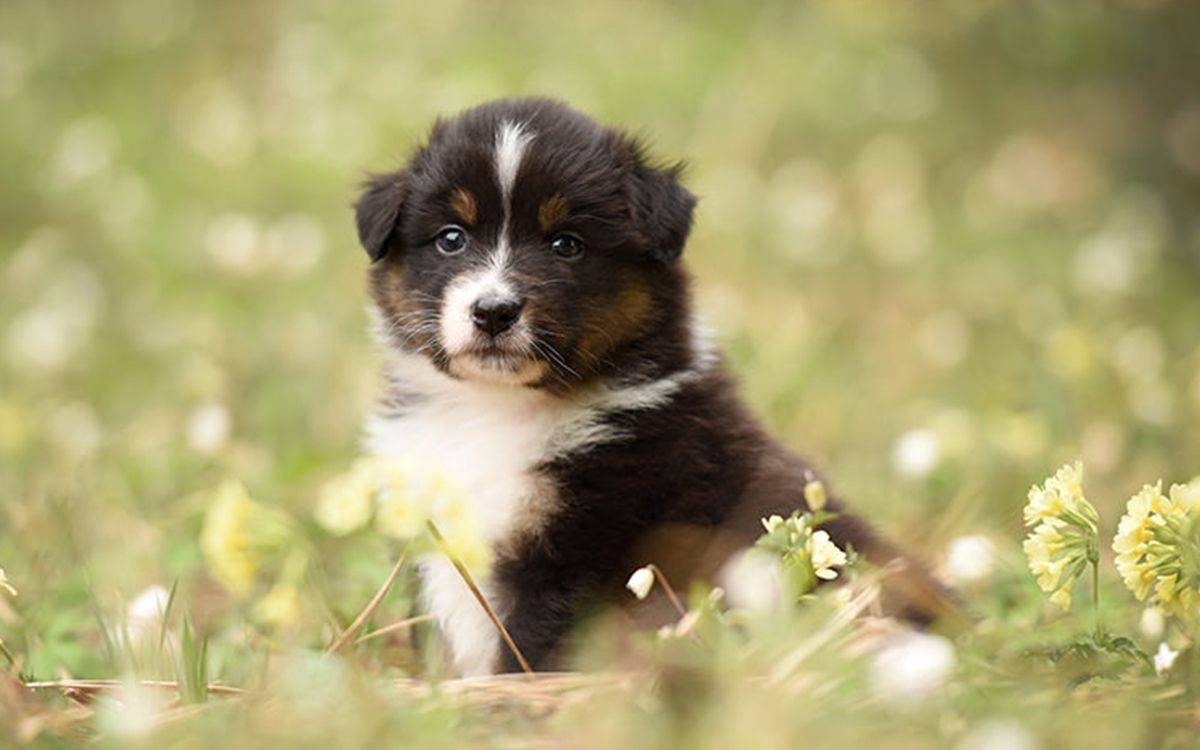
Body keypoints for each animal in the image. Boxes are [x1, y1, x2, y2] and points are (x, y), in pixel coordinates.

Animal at [350, 96, 950, 676]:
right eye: (451, 238)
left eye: (566, 244)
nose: (493, 310)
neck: (493, 410)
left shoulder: (583, 544)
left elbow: (530, 649)